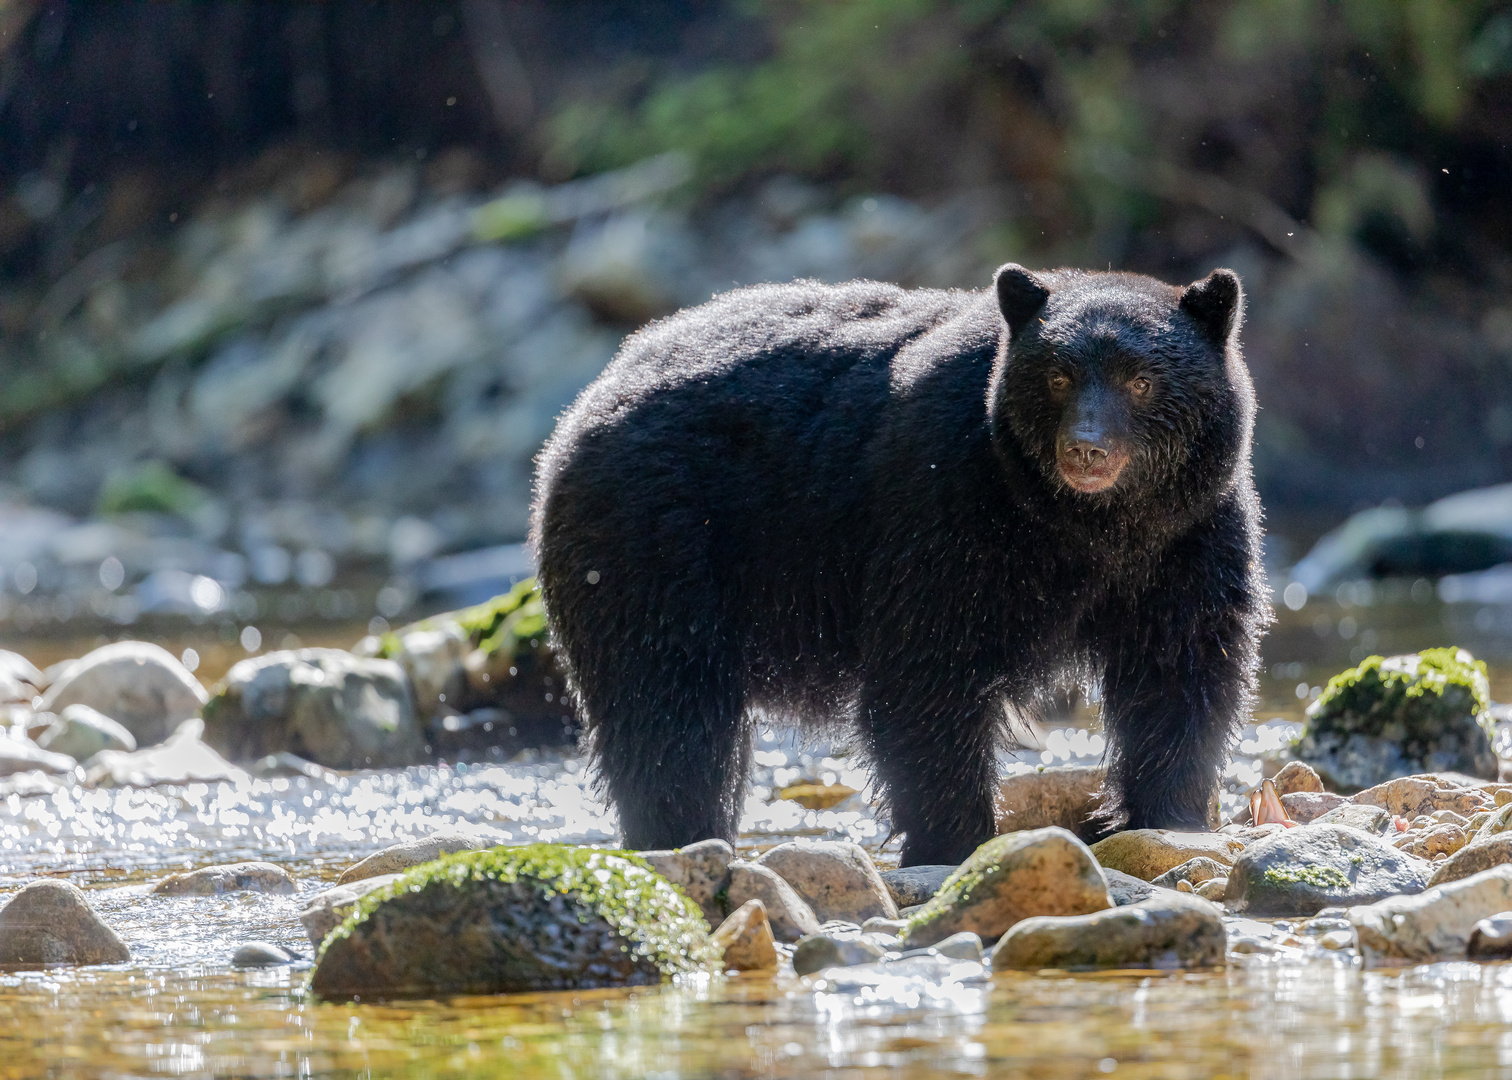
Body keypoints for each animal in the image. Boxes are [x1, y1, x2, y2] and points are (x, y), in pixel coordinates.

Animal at [532, 264, 1264, 865]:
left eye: (1141, 380)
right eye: (1058, 376)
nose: (1086, 449)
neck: (1090, 527)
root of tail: (594, 395)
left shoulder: (1189, 536)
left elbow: (1181, 667)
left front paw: (1167, 818)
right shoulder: (948, 501)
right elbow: (929, 668)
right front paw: (955, 840)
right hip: (656, 543)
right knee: (667, 707)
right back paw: (680, 835)